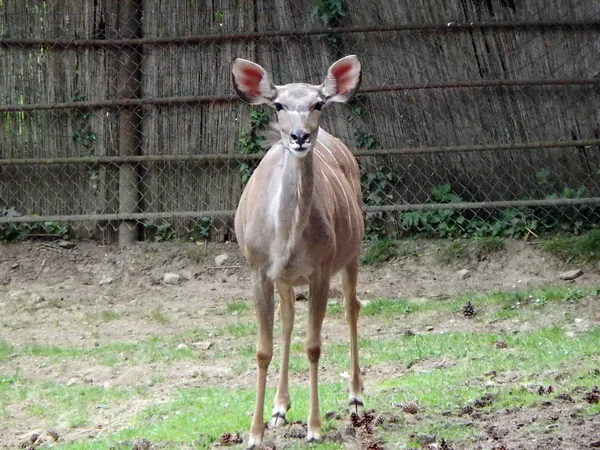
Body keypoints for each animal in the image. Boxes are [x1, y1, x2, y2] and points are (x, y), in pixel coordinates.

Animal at [233, 54, 366, 444]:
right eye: (278, 104)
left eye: (318, 103)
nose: (300, 136)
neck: (286, 240)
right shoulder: (260, 271)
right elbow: (263, 349)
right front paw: (255, 432)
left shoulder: (320, 271)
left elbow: (314, 346)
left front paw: (315, 428)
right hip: (287, 281)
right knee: (288, 319)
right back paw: (279, 408)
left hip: (352, 252)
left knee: (352, 307)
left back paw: (356, 397)